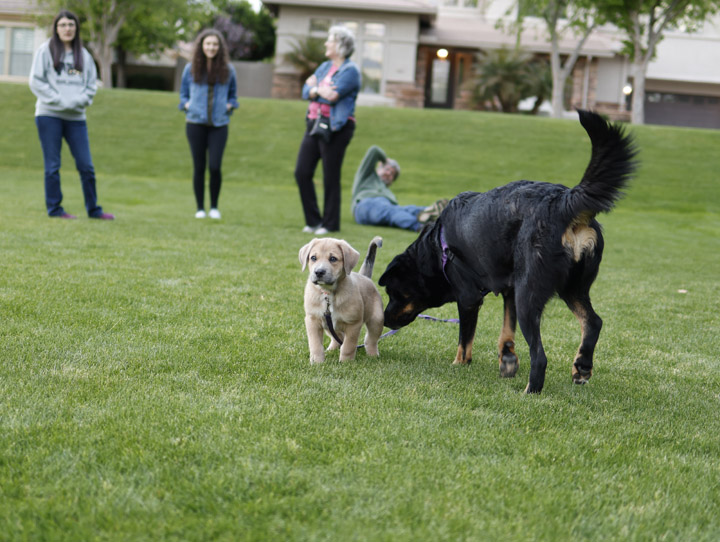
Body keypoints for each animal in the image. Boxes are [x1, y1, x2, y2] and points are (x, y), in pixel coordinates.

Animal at [298, 238, 386, 366]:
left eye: (333, 258)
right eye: (313, 258)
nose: (319, 272)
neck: (329, 294)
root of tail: (365, 277)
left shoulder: (353, 324)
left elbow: (348, 346)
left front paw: (346, 363)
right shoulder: (312, 321)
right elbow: (315, 345)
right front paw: (317, 362)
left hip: (377, 320)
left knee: (370, 340)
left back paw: (373, 355)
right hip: (328, 326)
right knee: (337, 337)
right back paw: (331, 349)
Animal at [380, 110, 640, 394]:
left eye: (392, 292)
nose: (383, 319)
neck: (438, 248)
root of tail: (562, 201)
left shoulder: (469, 298)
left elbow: (464, 339)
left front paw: (459, 363)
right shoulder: (509, 291)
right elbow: (506, 331)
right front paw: (507, 360)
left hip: (529, 294)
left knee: (540, 355)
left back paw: (531, 390)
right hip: (572, 287)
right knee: (593, 322)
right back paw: (581, 367)